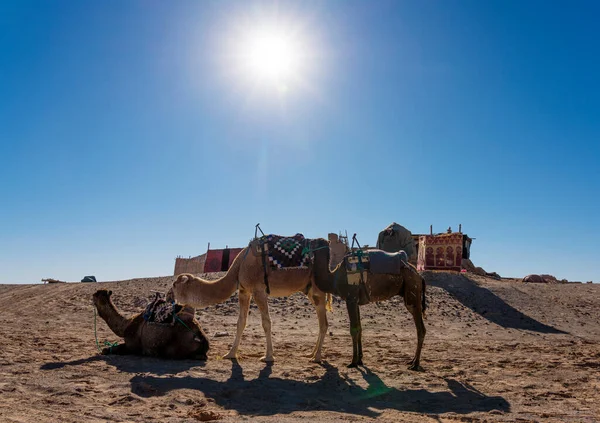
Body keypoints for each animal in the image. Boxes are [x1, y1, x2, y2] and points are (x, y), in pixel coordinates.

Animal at [166, 235, 332, 364]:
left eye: (174, 284)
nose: (167, 296)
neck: (240, 265)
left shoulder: (259, 290)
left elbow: (266, 322)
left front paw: (268, 356)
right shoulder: (244, 291)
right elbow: (241, 322)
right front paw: (230, 354)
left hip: (318, 288)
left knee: (323, 323)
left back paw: (317, 357)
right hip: (310, 290)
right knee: (322, 321)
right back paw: (311, 354)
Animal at [310, 238, 426, 372]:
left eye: (313, 242)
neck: (333, 278)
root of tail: (419, 275)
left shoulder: (350, 299)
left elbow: (353, 330)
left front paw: (353, 362)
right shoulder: (356, 302)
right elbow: (359, 328)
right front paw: (360, 359)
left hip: (412, 293)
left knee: (420, 329)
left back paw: (415, 364)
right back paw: (412, 361)